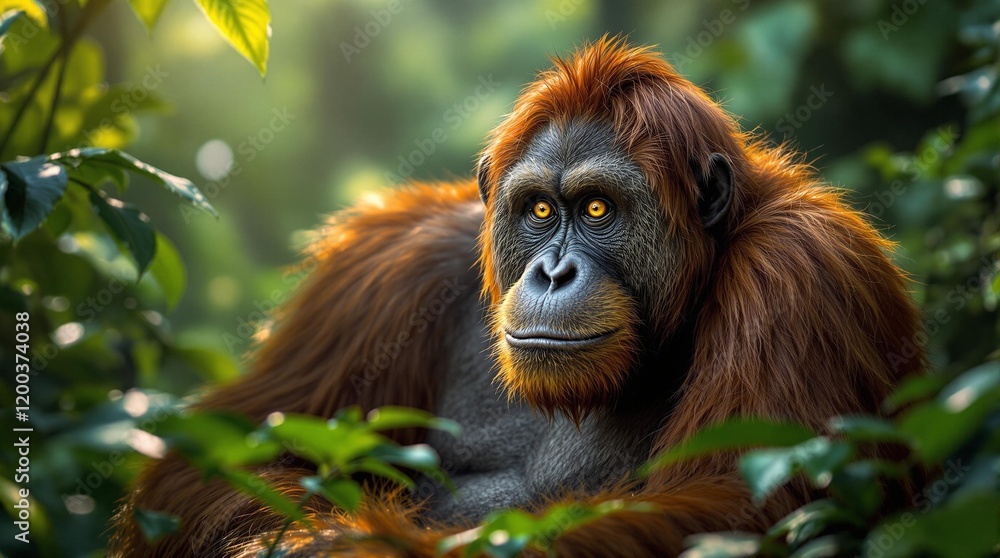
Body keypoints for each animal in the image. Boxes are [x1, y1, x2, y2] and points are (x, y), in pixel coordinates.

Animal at [111, 37, 924, 557]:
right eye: (538, 210)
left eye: (597, 209)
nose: (552, 272)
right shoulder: (387, 269)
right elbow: (228, 449)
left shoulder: (802, 274)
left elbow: (734, 505)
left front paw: (353, 548)